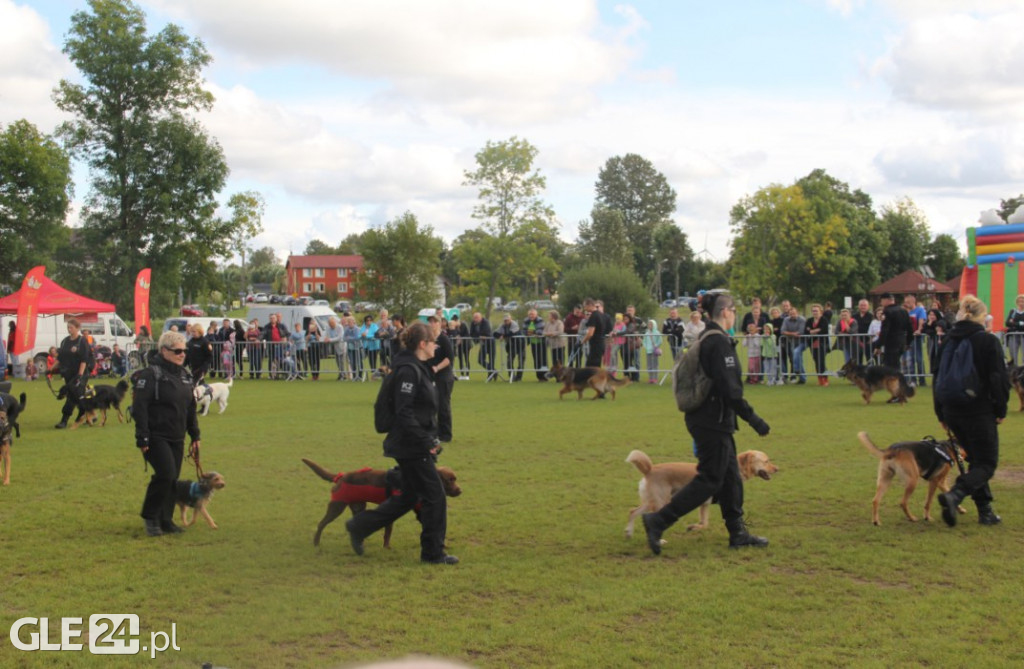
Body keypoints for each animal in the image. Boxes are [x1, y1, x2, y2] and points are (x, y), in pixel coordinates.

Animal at [301, 458, 462, 549]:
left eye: (455, 479)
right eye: (450, 480)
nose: (460, 491)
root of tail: (340, 476)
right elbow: (388, 531)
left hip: (358, 506)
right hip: (337, 506)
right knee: (321, 524)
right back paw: (316, 543)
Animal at [622, 446, 774, 540]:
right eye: (766, 461)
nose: (777, 469)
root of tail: (650, 470)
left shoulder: (704, 504)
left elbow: (704, 523)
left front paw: (694, 527)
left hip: (651, 501)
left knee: (632, 512)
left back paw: (629, 533)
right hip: (660, 502)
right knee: (652, 520)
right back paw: (659, 541)